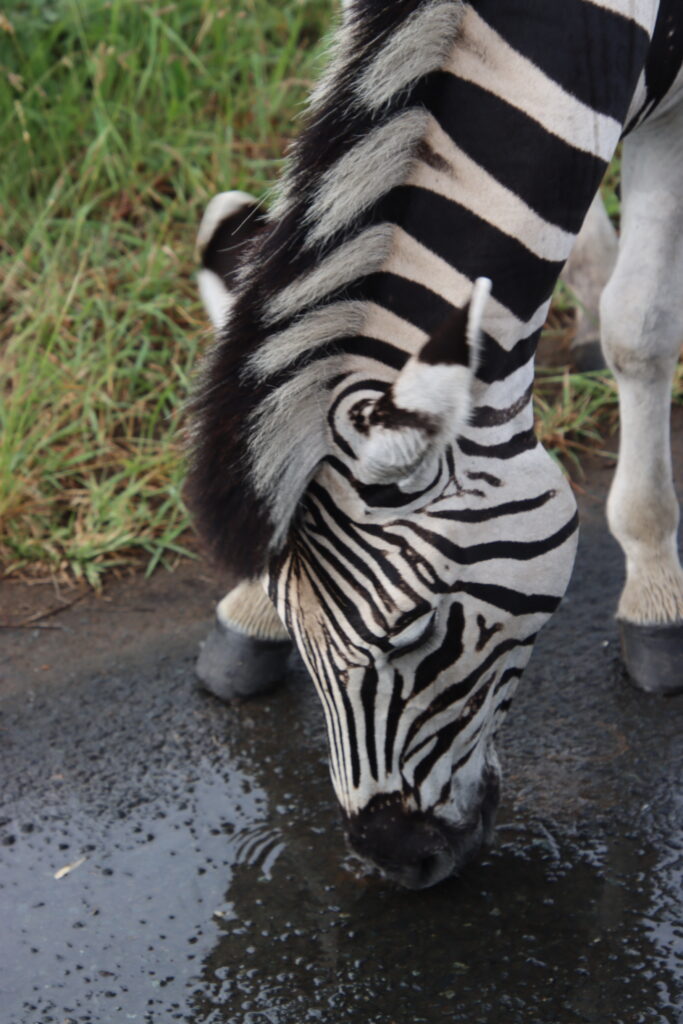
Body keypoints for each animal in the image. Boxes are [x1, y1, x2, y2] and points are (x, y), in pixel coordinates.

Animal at [187, 0, 683, 889]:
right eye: (298, 632)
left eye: (416, 631)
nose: (396, 861)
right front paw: (249, 612)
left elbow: (643, 324)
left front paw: (655, 581)